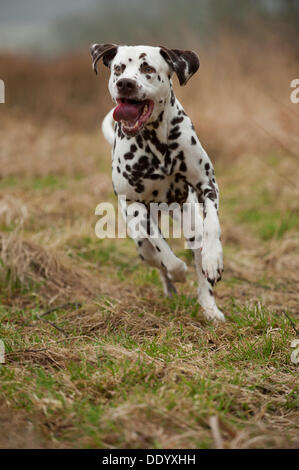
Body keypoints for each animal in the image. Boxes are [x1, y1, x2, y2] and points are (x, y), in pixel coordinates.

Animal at [91, 44, 225, 322]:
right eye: (118, 68)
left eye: (147, 68)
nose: (125, 83)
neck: (155, 142)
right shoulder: (136, 206)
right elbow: (164, 252)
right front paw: (177, 271)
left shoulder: (207, 185)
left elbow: (213, 227)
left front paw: (213, 259)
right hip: (141, 245)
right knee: (155, 257)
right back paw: (171, 284)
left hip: (190, 223)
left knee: (200, 265)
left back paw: (210, 308)